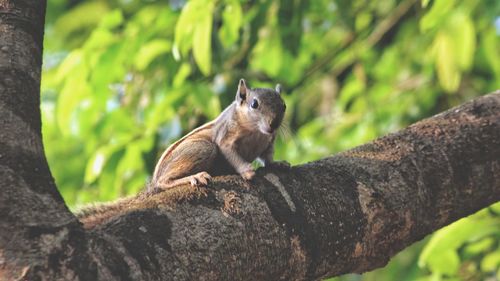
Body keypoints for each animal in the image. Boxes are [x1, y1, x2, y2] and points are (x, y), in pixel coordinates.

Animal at [150, 77, 288, 189]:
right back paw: (193, 177)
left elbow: (268, 157)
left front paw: (276, 163)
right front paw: (247, 171)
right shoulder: (225, 136)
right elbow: (231, 154)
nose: (273, 124)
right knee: (163, 181)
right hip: (201, 148)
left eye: (284, 106)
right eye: (254, 104)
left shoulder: (269, 142)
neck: (256, 131)